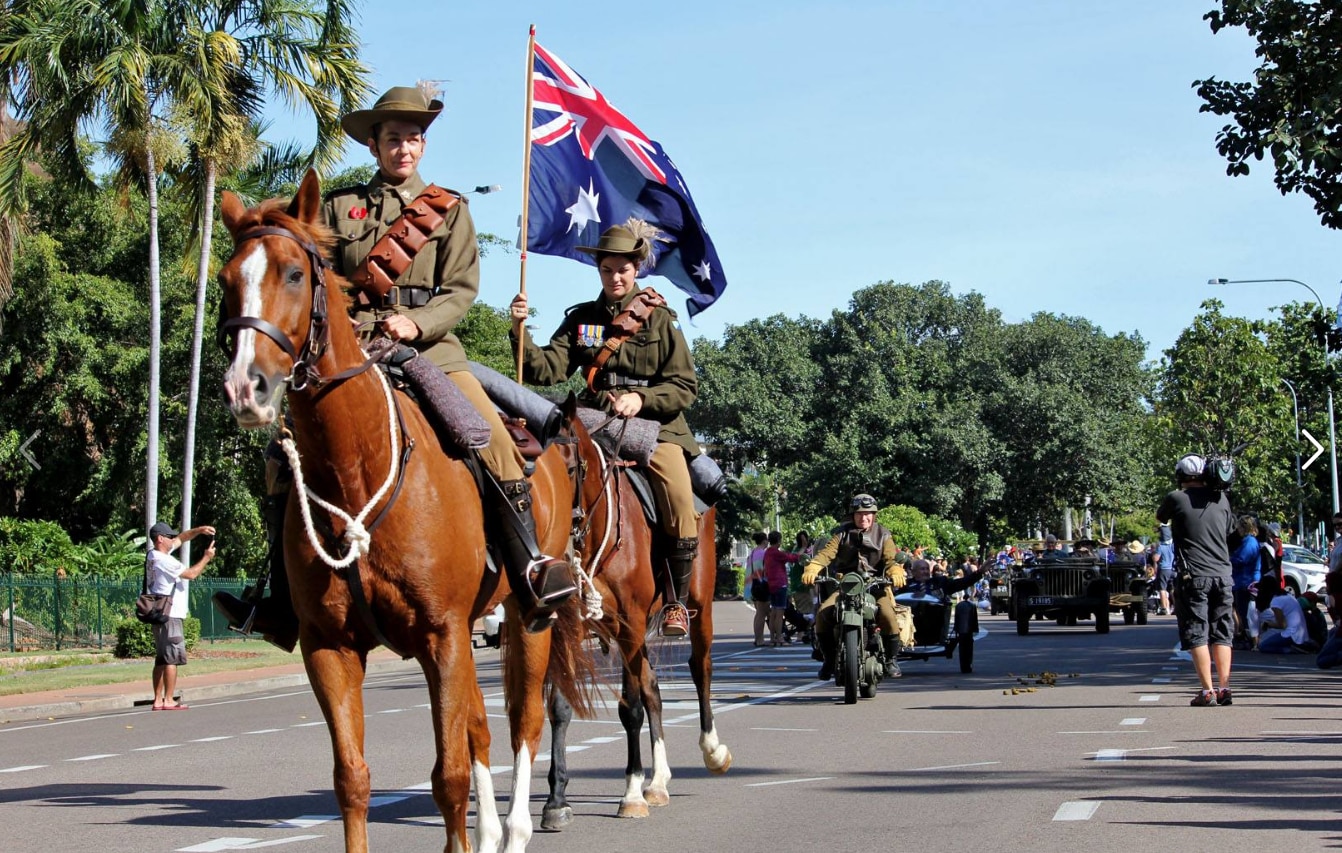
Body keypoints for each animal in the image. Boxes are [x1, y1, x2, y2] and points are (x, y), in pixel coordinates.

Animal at [217, 168, 590, 853]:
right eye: (229, 279)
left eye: (294, 273)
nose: (245, 388)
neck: (357, 471)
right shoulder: (330, 647)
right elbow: (353, 779)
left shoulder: (443, 635)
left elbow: (448, 776)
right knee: (482, 729)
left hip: (529, 619)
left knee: (523, 721)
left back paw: (519, 828)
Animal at [539, 415, 735, 831]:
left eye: (569, 468)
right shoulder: (572, 629)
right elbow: (561, 707)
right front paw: (556, 801)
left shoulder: (629, 623)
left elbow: (630, 709)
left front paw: (630, 793)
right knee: (653, 689)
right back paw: (658, 782)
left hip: (699, 606)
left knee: (701, 669)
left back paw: (712, 751)